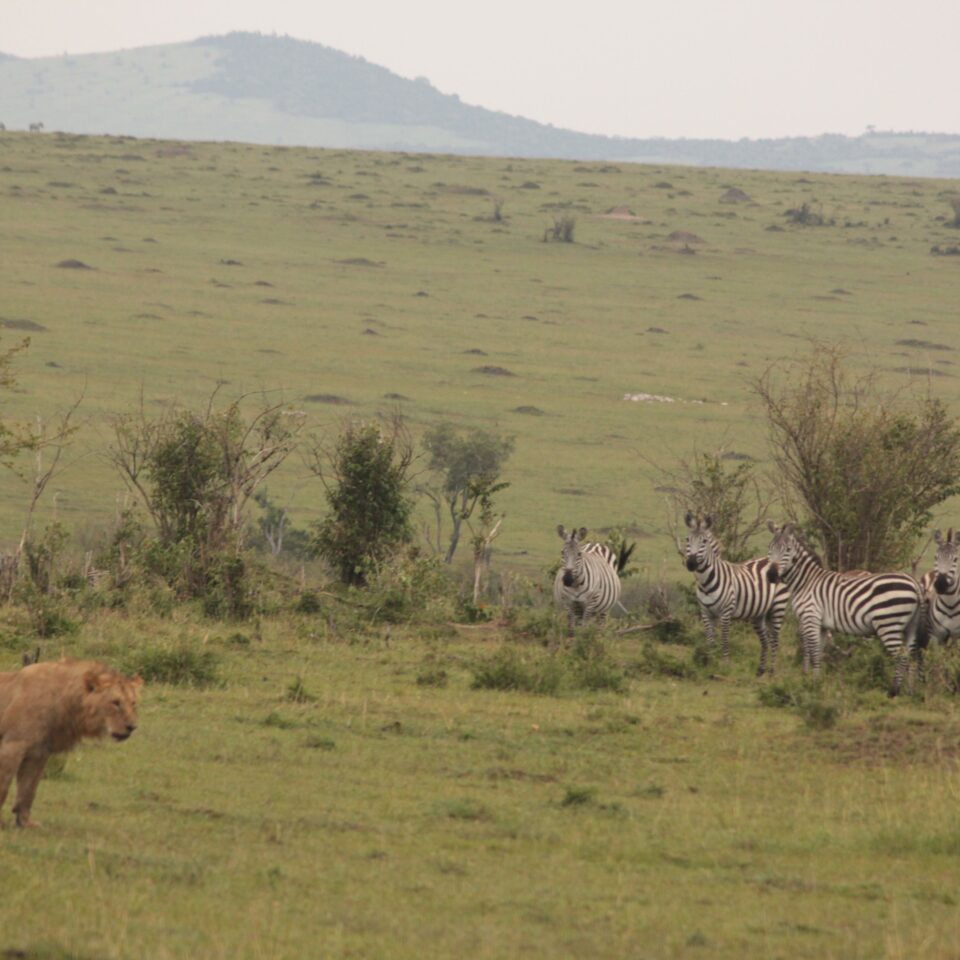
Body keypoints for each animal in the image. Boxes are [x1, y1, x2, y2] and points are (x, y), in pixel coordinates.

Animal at [0, 660, 142, 824]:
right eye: (115, 702)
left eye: (133, 703)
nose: (132, 727)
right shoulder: (12, 745)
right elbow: (3, 787)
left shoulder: (39, 754)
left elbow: (28, 790)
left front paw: (25, 823)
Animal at [688, 510, 792, 676]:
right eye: (688, 540)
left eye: (703, 541)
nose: (690, 563)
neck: (706, 582)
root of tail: (771, 560)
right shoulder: (706, 613)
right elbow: (709, 640)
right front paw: (708, 662)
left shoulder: (725, 613)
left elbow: (724, 639)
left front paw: (725, 665)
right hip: (759, 613)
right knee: (766, 640)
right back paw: (761, 670)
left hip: (778, 606)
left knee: (775, 640)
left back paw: (772, 671)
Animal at [764, 520, 924, 692]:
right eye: (770, 547)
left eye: (787, 550)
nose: (771, 575)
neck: (806, 582)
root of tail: (914, 582)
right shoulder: (821, 625)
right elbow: (817, 652)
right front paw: (816, 682)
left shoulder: (811, 617)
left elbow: (812, 651)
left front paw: (812, 686)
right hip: (910, 626)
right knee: (910, 656)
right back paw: (910, 691)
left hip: (888, 623)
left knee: (901, 656)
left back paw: (894, 691)